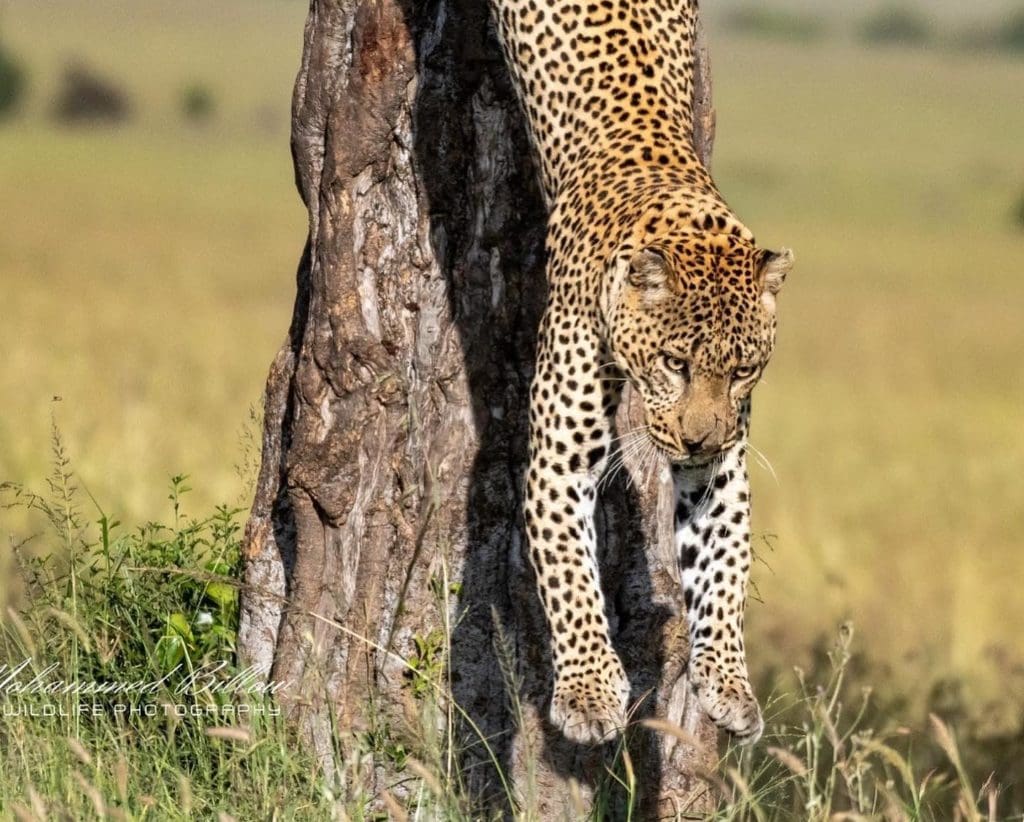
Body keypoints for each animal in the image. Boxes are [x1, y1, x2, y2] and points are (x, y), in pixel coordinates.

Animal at [489, 0, 794, 745]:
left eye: (742, 370)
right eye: (674, 363)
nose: (697, 438)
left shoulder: (721, 466)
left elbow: (726, 562)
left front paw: (728, 682)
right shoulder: (560, 457)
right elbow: (569, 576)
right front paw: (590, 694)